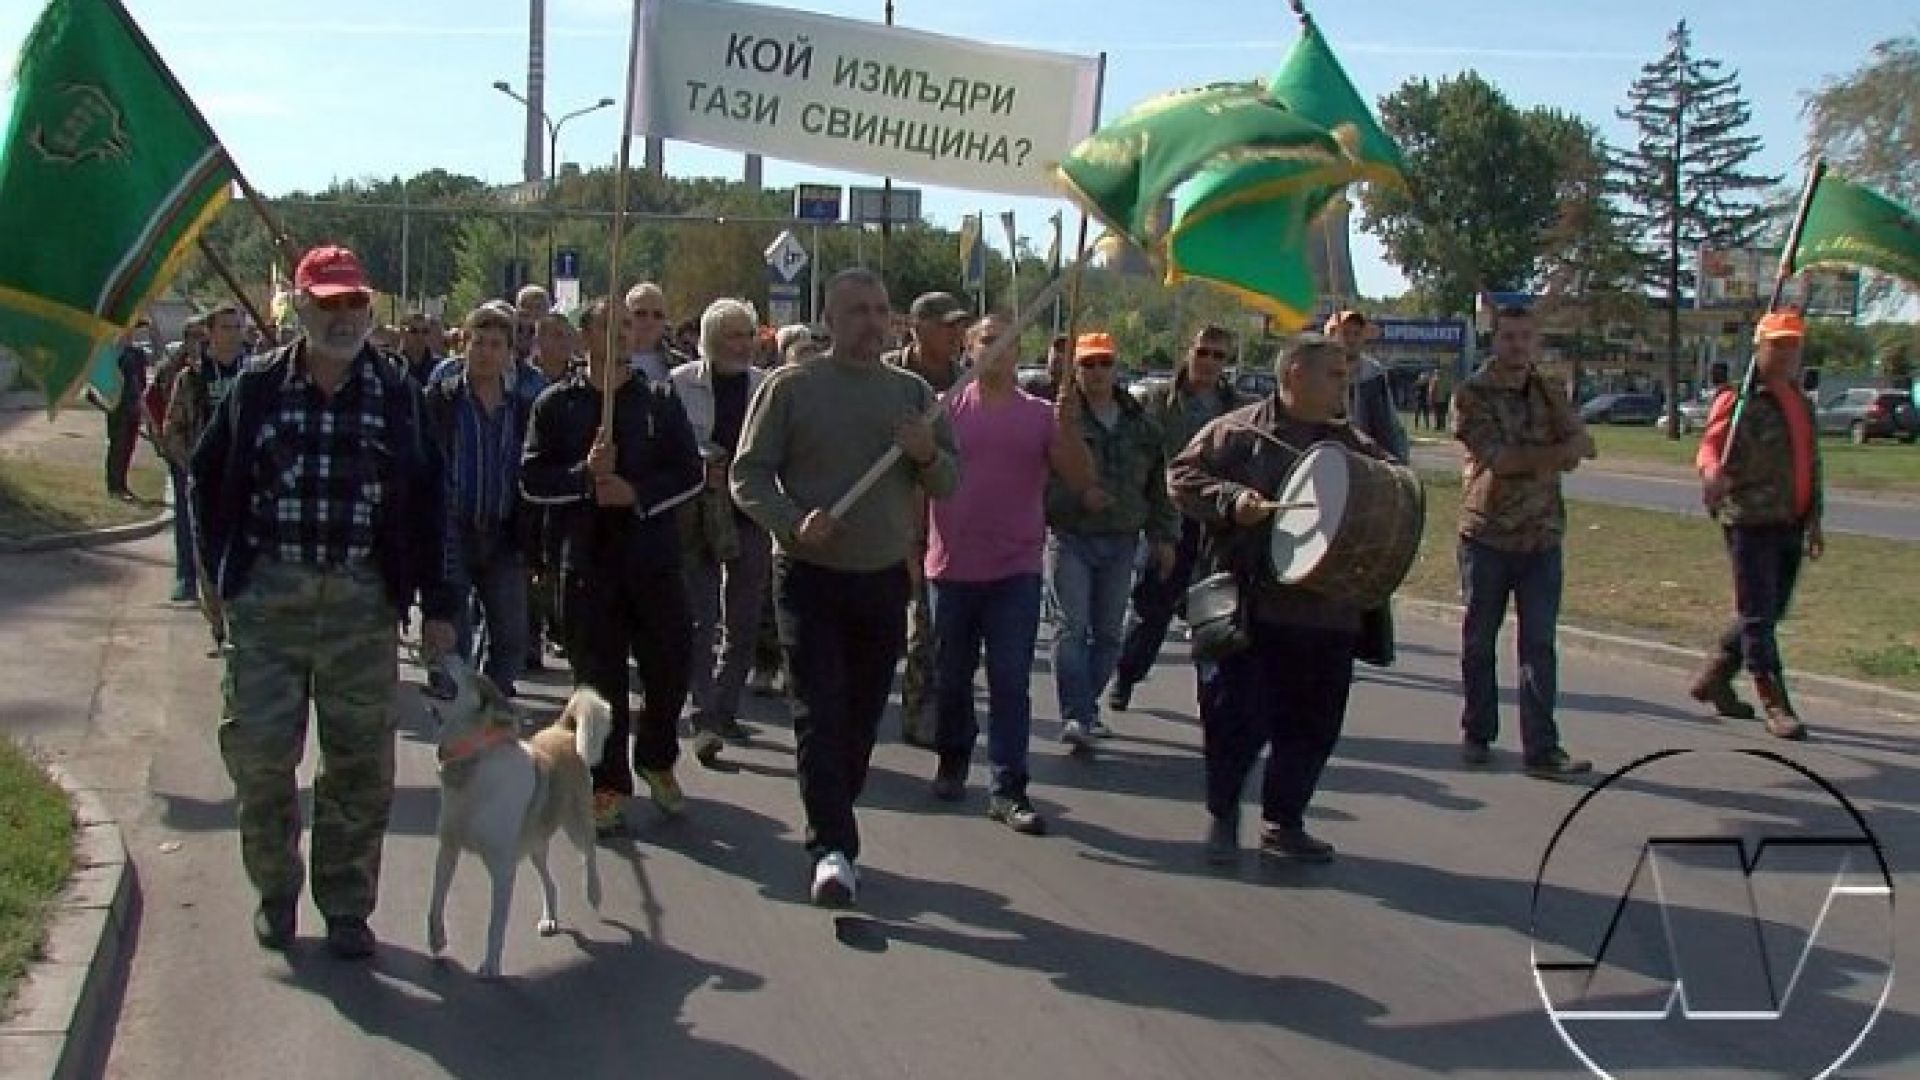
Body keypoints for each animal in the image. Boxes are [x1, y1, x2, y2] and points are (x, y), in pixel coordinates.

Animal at [426, 657, 606, 976]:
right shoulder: (448, 849)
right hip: (535, 847)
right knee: (550, 882)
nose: (448, 655)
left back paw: (593, 891)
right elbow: (435, 902)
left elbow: (495, 925)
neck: (475, 760)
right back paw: (549, 919)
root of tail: (562, 729)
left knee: (590, 852)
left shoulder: (502, 871)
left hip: (576, 824)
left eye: (474, 675)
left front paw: (490, 966)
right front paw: (437, 940)